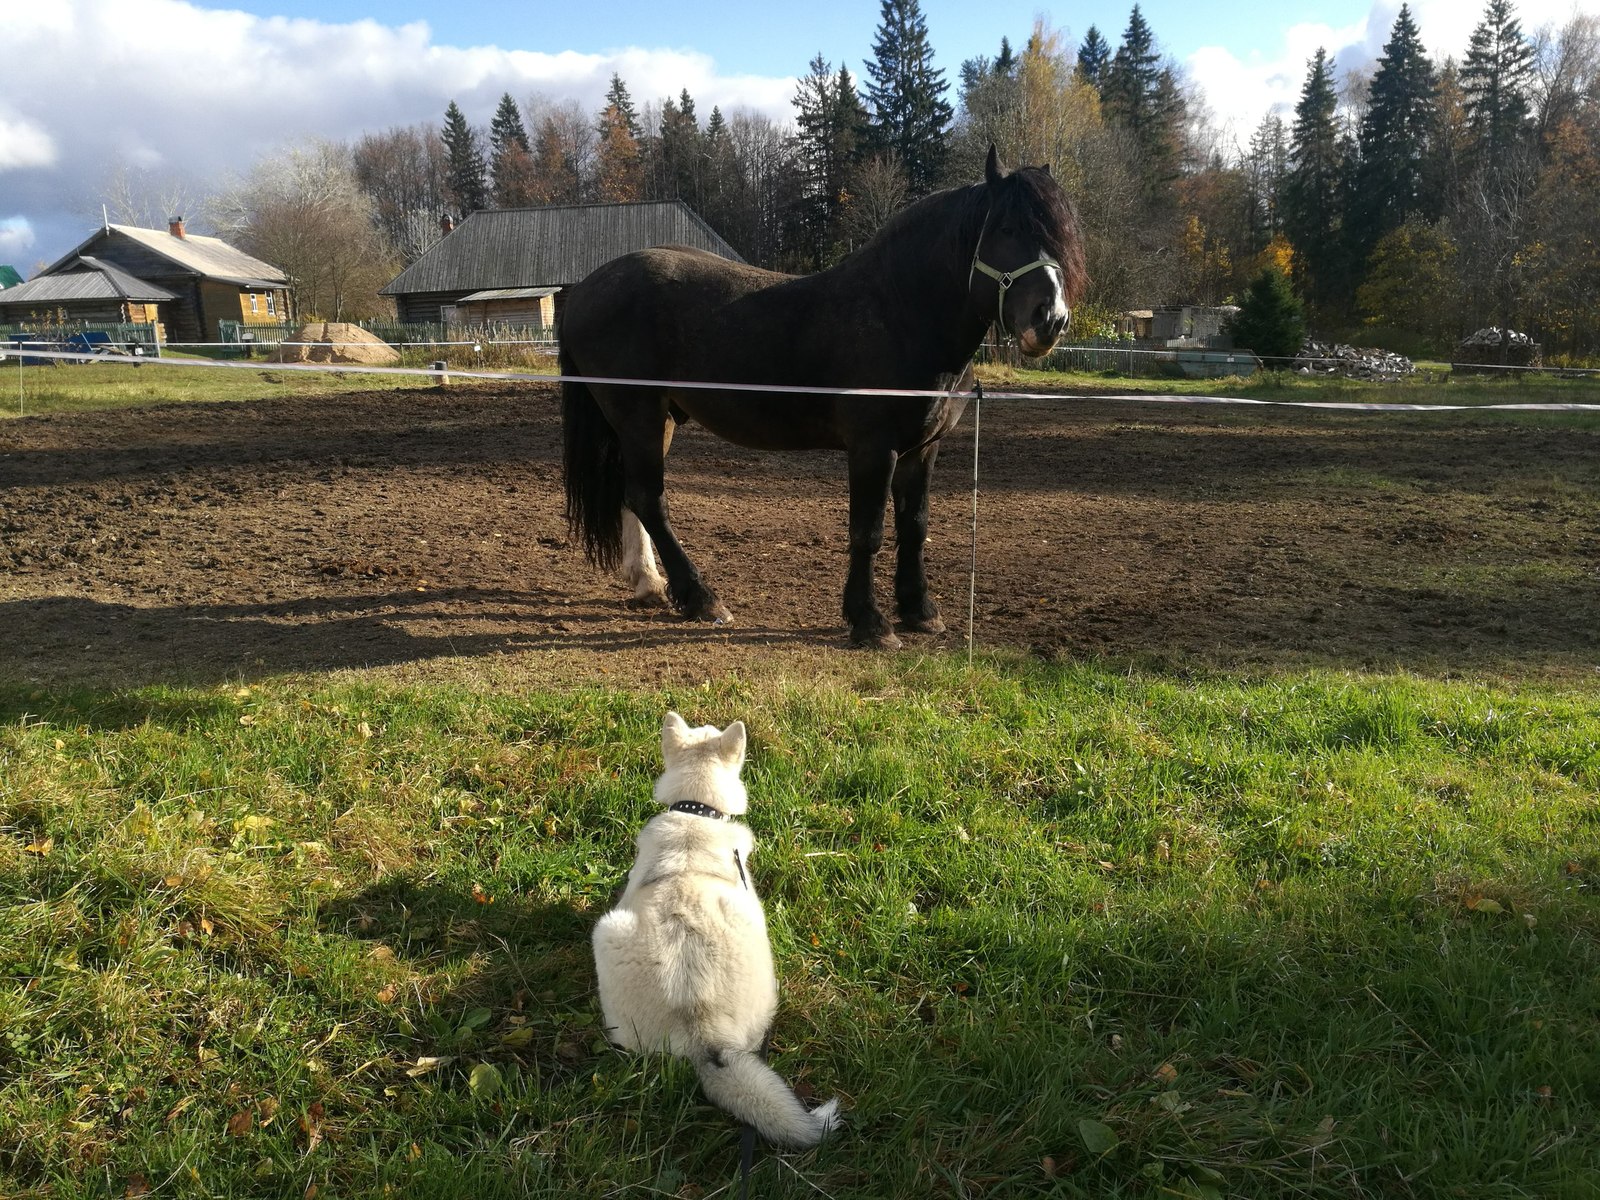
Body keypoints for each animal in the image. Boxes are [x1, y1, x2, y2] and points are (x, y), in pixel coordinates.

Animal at [553, 148, 1088, 649]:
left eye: (1059, 235)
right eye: (1006, 227)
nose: (1050, 319)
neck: (900, 313)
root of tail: (584, 288)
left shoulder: (923, 449)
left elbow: (914, 527)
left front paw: (920, 611)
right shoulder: (873, 448)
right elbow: (868, 532)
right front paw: (870, 622)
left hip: (659, 418)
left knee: (632, 497)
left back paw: (650, 585)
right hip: (637, 415)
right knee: (650, 499)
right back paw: (702, 598)